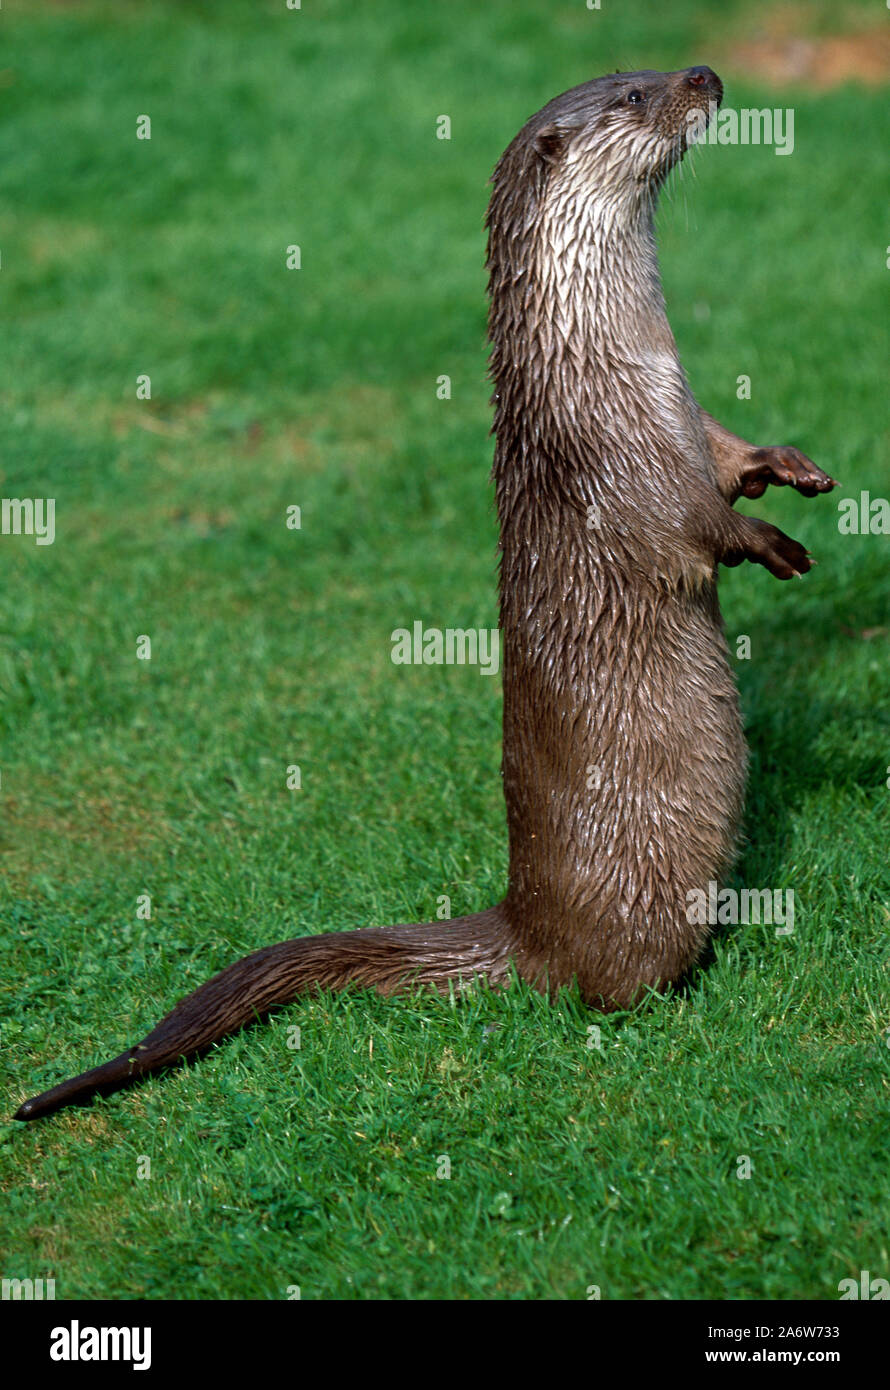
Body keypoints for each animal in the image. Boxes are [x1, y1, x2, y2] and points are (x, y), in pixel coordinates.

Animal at [13, 67, 834, 1128]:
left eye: (650, 69)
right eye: (634, 93)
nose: (704, 76)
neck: (604, 361)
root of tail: (524, 926)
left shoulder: (686, 412)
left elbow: (733, 458)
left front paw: (793, 467)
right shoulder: (625, 459)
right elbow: (699, 528)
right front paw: (776, 546)